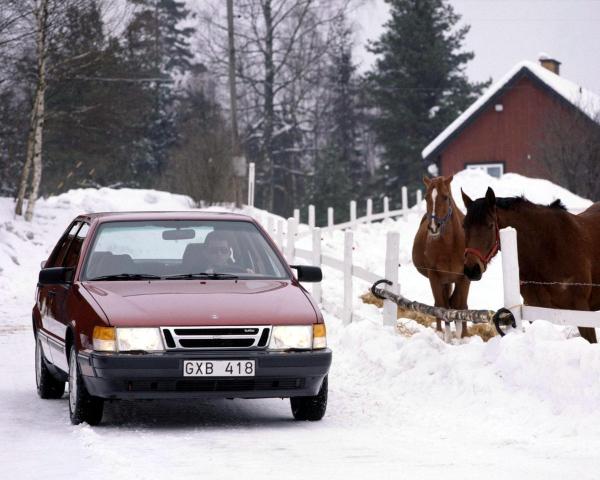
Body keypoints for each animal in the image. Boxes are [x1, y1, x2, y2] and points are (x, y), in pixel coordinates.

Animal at [412, 175, 468, 338]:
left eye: (445, 197)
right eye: (426, 197)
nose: (433, 227)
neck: (450, 245)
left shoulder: (464, 277)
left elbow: (459, 305)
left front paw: (461, 337)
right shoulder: (434, 276)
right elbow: (442, 307)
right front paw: (448, 337)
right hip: (443, 281)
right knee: (439, 303)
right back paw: (439, 331)